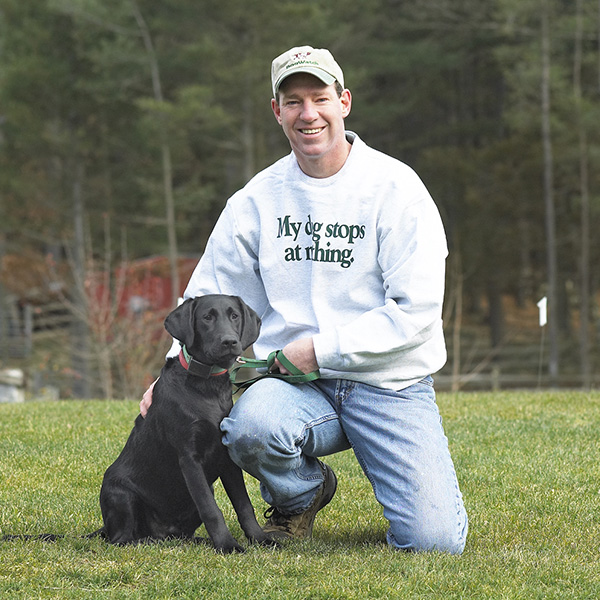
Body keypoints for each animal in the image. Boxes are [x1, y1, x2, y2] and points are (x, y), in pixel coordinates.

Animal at [96, 296, 274, 552]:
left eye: (234, 316)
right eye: (207, 317)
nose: (229, 341)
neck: (207, 386)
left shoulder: (227, 458)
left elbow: (244, 505)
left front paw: (259, 539)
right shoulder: (189, 457)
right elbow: (211, 509)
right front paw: (227, 545)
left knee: (178, 535)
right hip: (120, 493)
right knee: (123, 540)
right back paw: (150, 542)